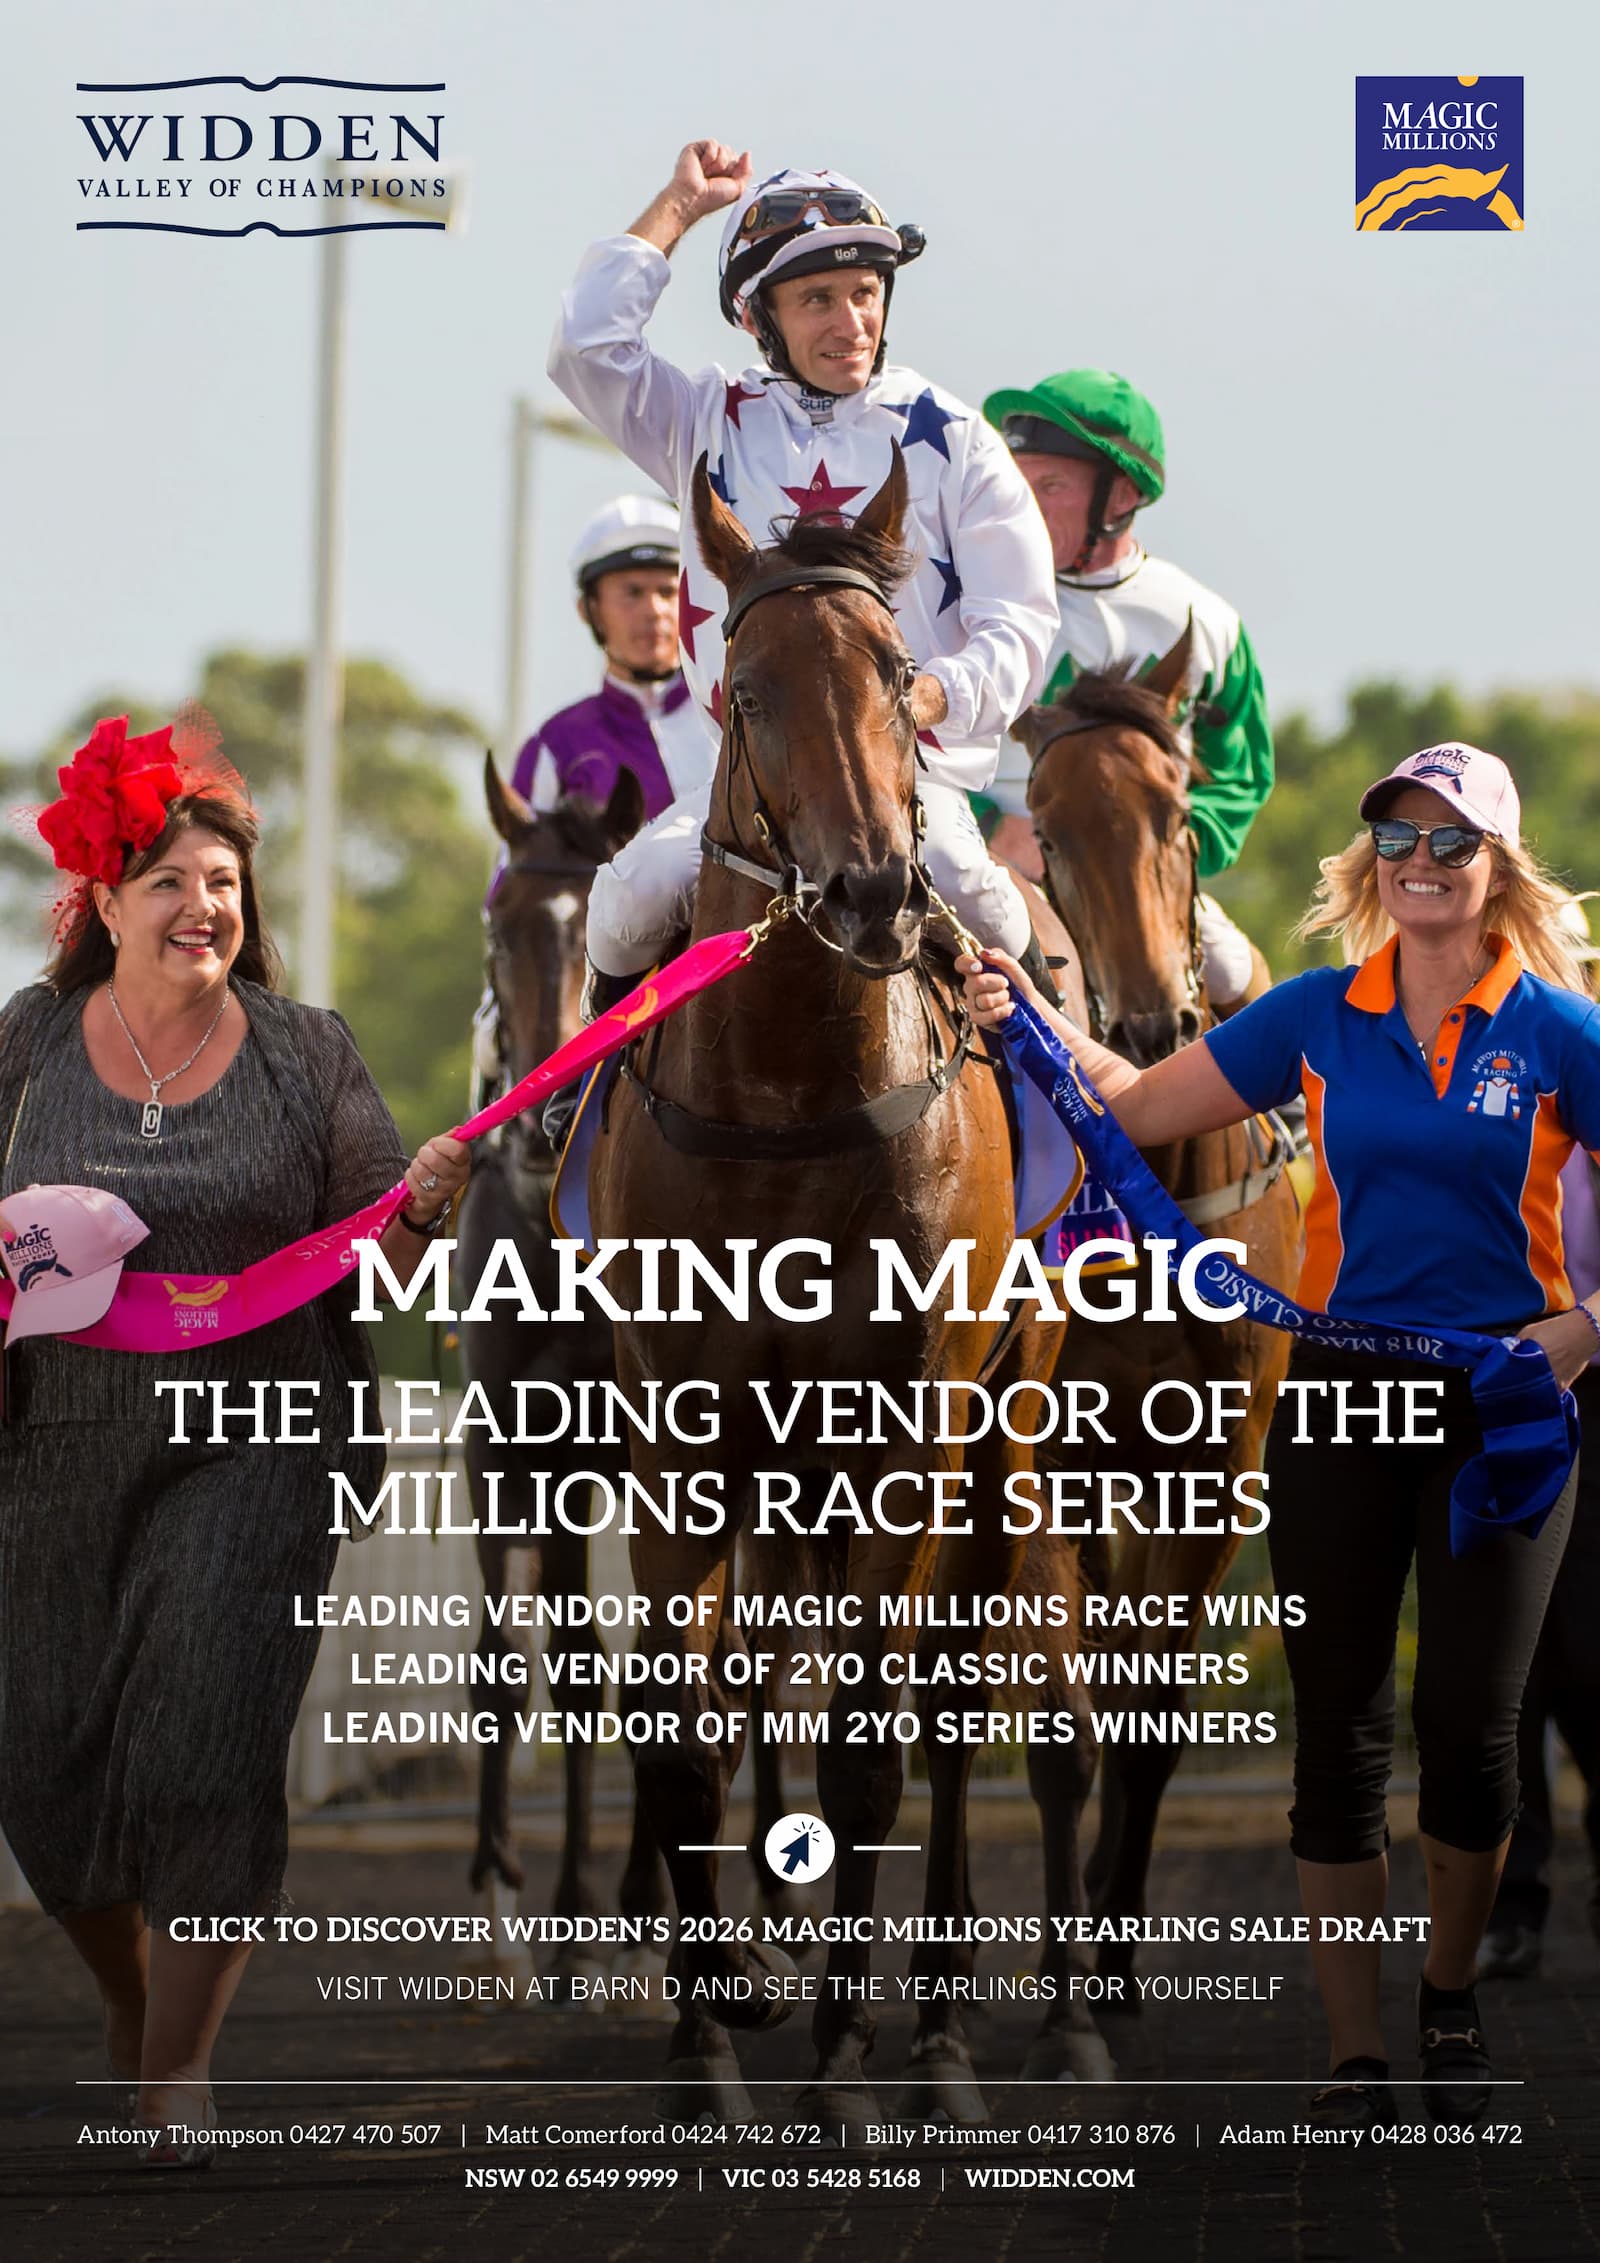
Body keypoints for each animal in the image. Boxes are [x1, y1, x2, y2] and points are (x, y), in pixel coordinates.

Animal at [588, 449, 1108, 2133]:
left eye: (894, 674)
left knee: (969, 1707)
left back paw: (972, 2028)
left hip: (1003, 1425)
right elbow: (681, 1726)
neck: (789, 1091)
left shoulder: (906, 1436)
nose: (877, 888)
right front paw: (707, 2042)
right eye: (744, 689)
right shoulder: (684, 1440)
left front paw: (844, 2061)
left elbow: (876, 1746)